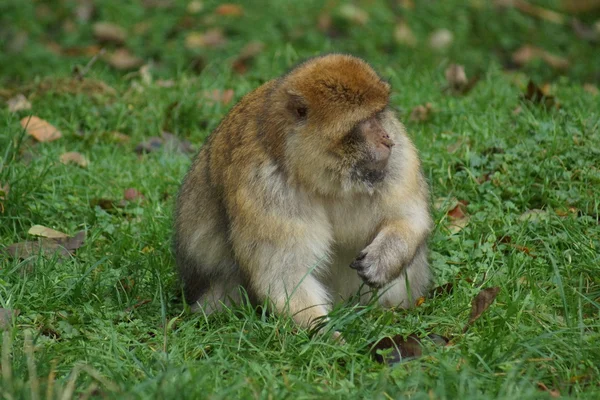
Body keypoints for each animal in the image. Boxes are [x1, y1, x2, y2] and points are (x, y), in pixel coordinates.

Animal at [173, 52, 432, 328]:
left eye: (379, 113)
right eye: (364, 122)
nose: (386, 138)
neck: (321, 179)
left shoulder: (397, 157)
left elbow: (409, 217)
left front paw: (384, 259)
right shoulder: (263, 187)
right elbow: (286, 274)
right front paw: (323, 332)